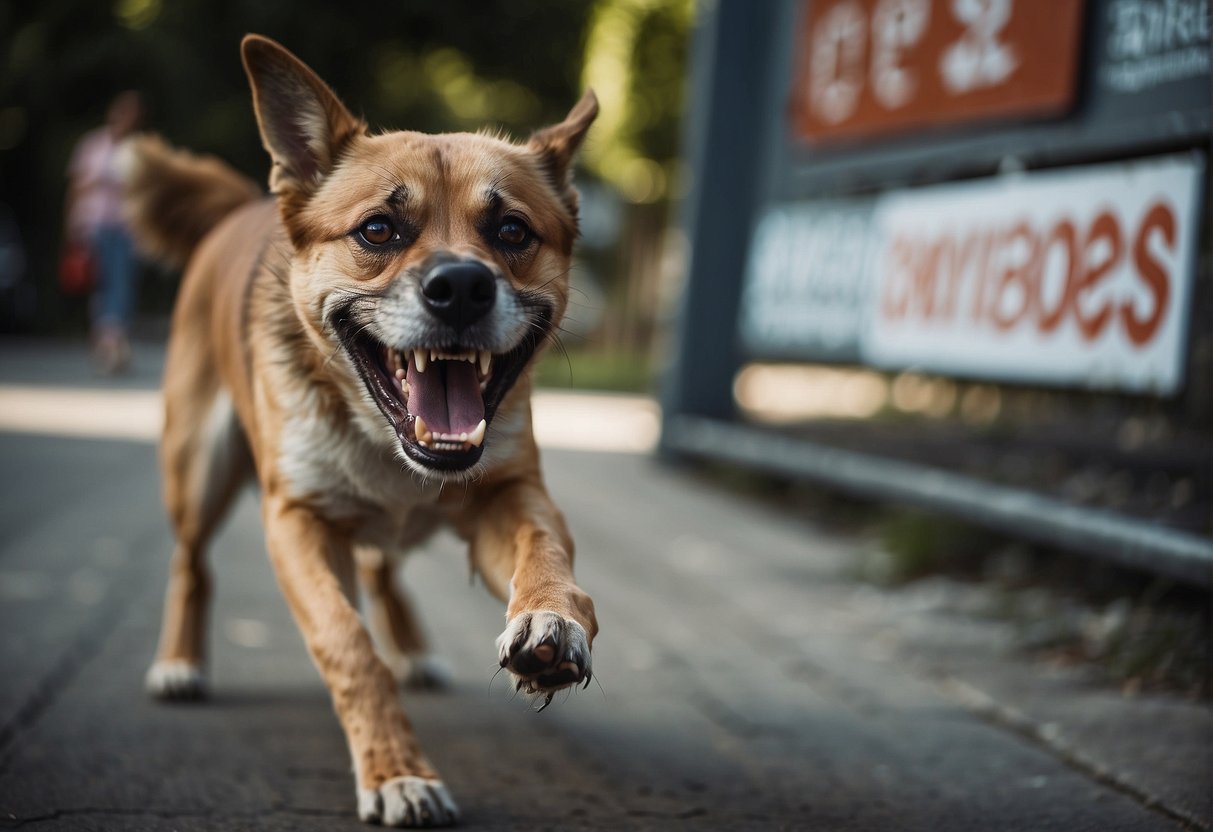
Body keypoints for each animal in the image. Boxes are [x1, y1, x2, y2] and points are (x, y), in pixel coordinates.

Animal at [125, 34, 599, 829]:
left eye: (512, 231)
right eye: (378, 229)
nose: (461, 288)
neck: (389, 446)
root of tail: (247, 204)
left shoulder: (510, 494)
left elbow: (547, 557)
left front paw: (550, 621)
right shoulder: (296, 521)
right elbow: (347, 643)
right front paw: (396, 772)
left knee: (382, 567)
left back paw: (413, 646)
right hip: (196, 472)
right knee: (192, 563)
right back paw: (178, 663)